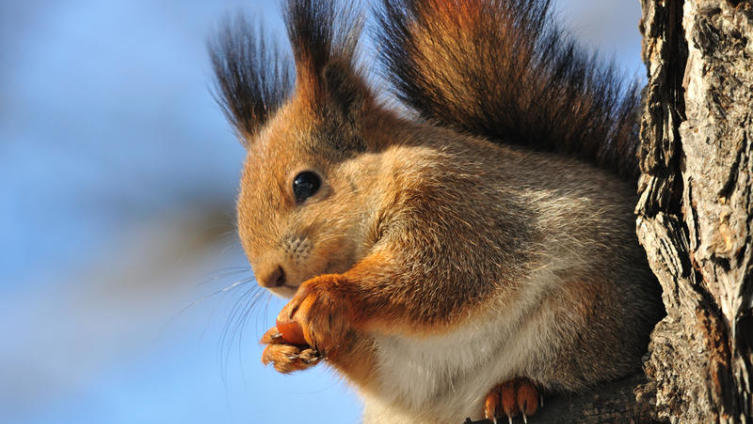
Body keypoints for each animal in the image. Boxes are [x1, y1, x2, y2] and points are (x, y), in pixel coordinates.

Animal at [209, 0, 663, 423]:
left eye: (305, 183)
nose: (270, 277)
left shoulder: (459, 203)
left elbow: (441, 273)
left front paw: (330, 293)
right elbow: (381, 364)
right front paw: (278, 345)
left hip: (584, 314)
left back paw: (516, 390)